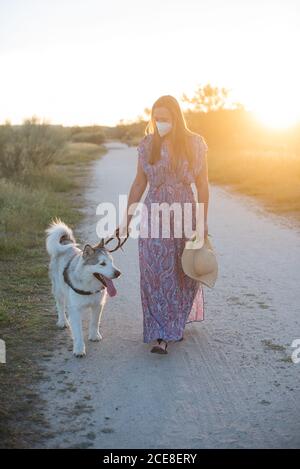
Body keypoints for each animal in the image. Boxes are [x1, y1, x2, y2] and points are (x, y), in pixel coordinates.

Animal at [44, 218, 122, 354]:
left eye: (111, 262)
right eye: (102, 264)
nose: (118, 273)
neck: (89, 285)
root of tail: (66, 243)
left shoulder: (98, 305)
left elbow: (94, 322)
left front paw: (94, 336)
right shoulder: (75, 309)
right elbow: (78, 332)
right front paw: (79, 349)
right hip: (58, 291)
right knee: (60, 306)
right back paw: (62, 321)